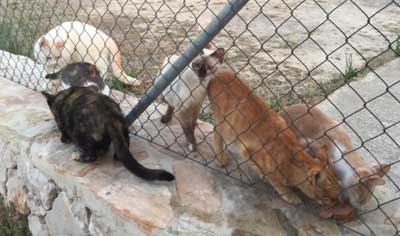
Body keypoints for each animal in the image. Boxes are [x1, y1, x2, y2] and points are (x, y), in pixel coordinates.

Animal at [191, 53, 340, 205]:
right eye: (330, 198)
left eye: (338, 194)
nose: (338, 203)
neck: (291, 158)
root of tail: (219, 73)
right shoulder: (249, 153)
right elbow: (274, 180)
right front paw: (288, 193)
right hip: (223, 123)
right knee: (217, 137)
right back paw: (221, 160)